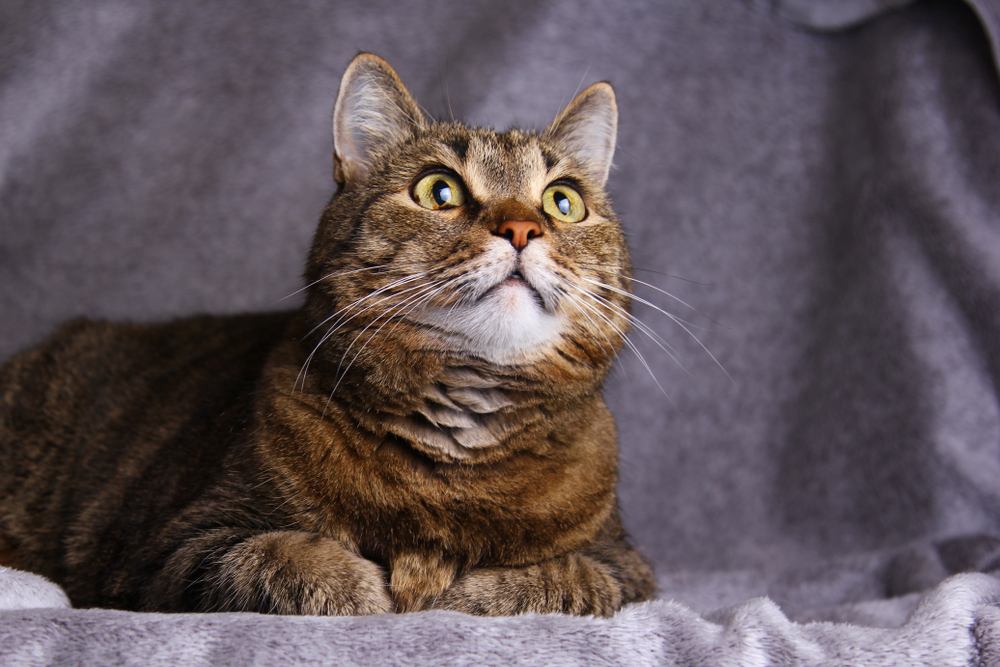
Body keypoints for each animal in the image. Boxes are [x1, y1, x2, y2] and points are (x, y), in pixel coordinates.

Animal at [0, 51, 656, 616]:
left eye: (563, 202)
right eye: (438, 190)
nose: (522, 228)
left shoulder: (625, 565)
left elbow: (561, 578)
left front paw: (461, 592)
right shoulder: (166, 550)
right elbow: (282, 558)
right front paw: (369, 586)